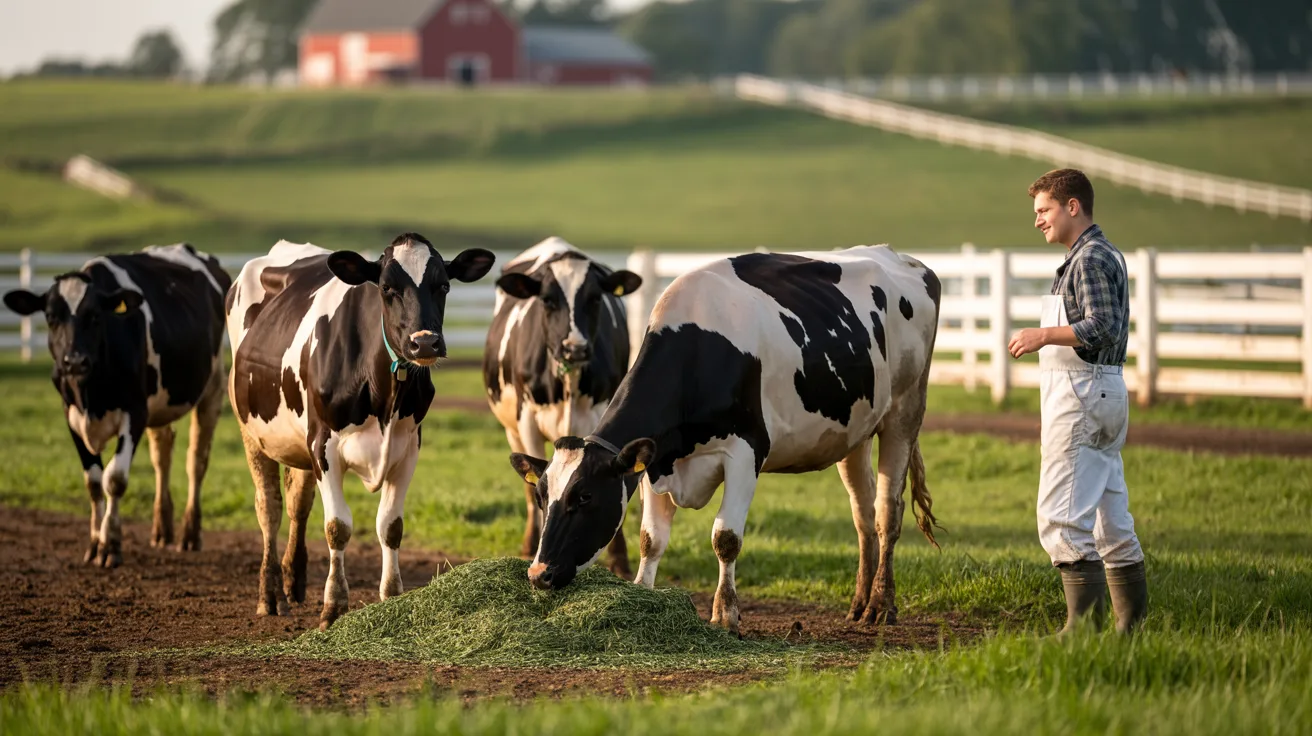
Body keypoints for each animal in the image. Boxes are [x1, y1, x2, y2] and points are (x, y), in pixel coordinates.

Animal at [3, 244, 231, 568]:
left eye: (96, 316)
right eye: (50, 316)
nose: (74, 361)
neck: (92, 393)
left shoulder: (134, 413)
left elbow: (115, 479)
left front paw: (110, 545)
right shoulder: (71, 416)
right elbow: (94, 482)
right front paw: (94, 543)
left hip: (213, 386)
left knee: (196, 460)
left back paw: (189, 534)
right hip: (160, 402)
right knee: (162, 454)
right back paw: (162, 529)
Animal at [226, 233, 494, 629]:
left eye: (444, 285)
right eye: (386, 288)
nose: (425, 342)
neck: (384, 389)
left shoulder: (408, 447)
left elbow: (390, 526)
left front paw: (392, 597)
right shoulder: (323, 445)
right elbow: (337, 526)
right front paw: (333, 607)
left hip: (298, 439)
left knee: (297, 504)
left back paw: (294, 582)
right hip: (252, 432)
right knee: (269, 508)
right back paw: (270, 595)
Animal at [483, 237, 643, 576]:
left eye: (595, 299)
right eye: (547, 300)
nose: (575, 348)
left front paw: (619, 562)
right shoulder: (527, 421)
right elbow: (535, 487)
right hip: (511, 429)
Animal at [507, 245, 943, 633]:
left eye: (584, 496)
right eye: (542, 495)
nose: (539, 574)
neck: (696, 352)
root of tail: (904, 258)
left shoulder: (746, 451)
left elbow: (725, 538)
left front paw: (725, 615)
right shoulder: (652, 463)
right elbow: (651, 540)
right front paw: (642, 594)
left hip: (905, 412)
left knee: (887, 512)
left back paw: (881, 605)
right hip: (855, 433)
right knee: (862, 514)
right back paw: (859, 603)